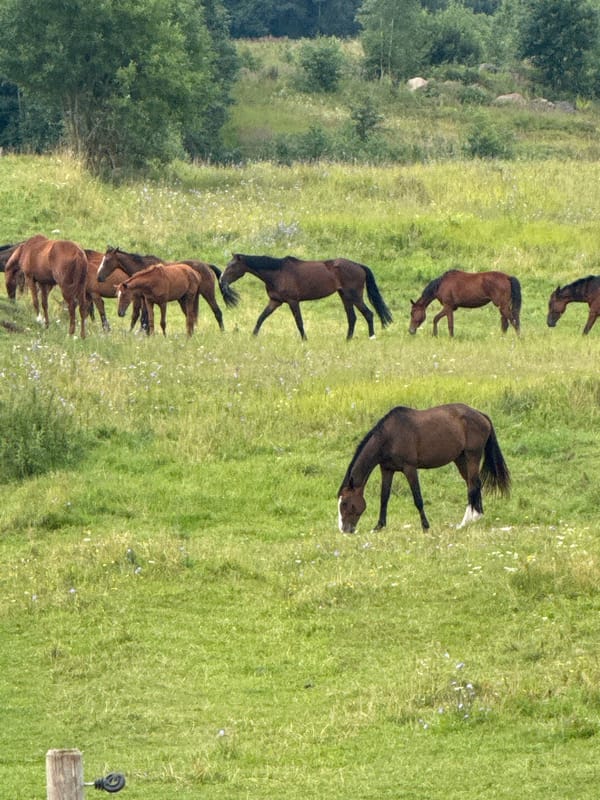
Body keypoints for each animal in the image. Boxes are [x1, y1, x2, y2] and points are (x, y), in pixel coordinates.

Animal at [97, 246, 239, 331]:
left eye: (107, 260)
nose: (99, 277)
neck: (142, 268)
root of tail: (207, 265)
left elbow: (140, 316)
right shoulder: (144, 298)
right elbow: (143, 317)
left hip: (208, 294)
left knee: (217, 312)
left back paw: (222, 332)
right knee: (192, 316)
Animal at [219, 253, 393, 340]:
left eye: (232, 266)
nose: (221, 280)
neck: (277, 272)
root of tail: (359, 266)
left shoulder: (292, 301)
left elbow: (299, 322)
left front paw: (304, 339)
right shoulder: (275, 301)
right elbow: (261, 318)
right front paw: (253, 336)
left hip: (355, 296)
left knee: (368, 314)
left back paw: (371, 337)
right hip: (345, 296)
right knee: (352, 318)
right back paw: (348, 339)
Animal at [338, 403, 511, 533]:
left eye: (345, 503)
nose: (344, 530)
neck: (390, 436)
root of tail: (482, 415)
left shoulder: (410, 468)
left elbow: (418, 499)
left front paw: (425, 527)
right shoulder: (387, 470)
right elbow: (384, 498)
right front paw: (379, 526)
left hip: (472, 456)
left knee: (473, 486)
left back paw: (465, 522)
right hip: (460, 459)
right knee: (473, 483)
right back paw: (476, 517)